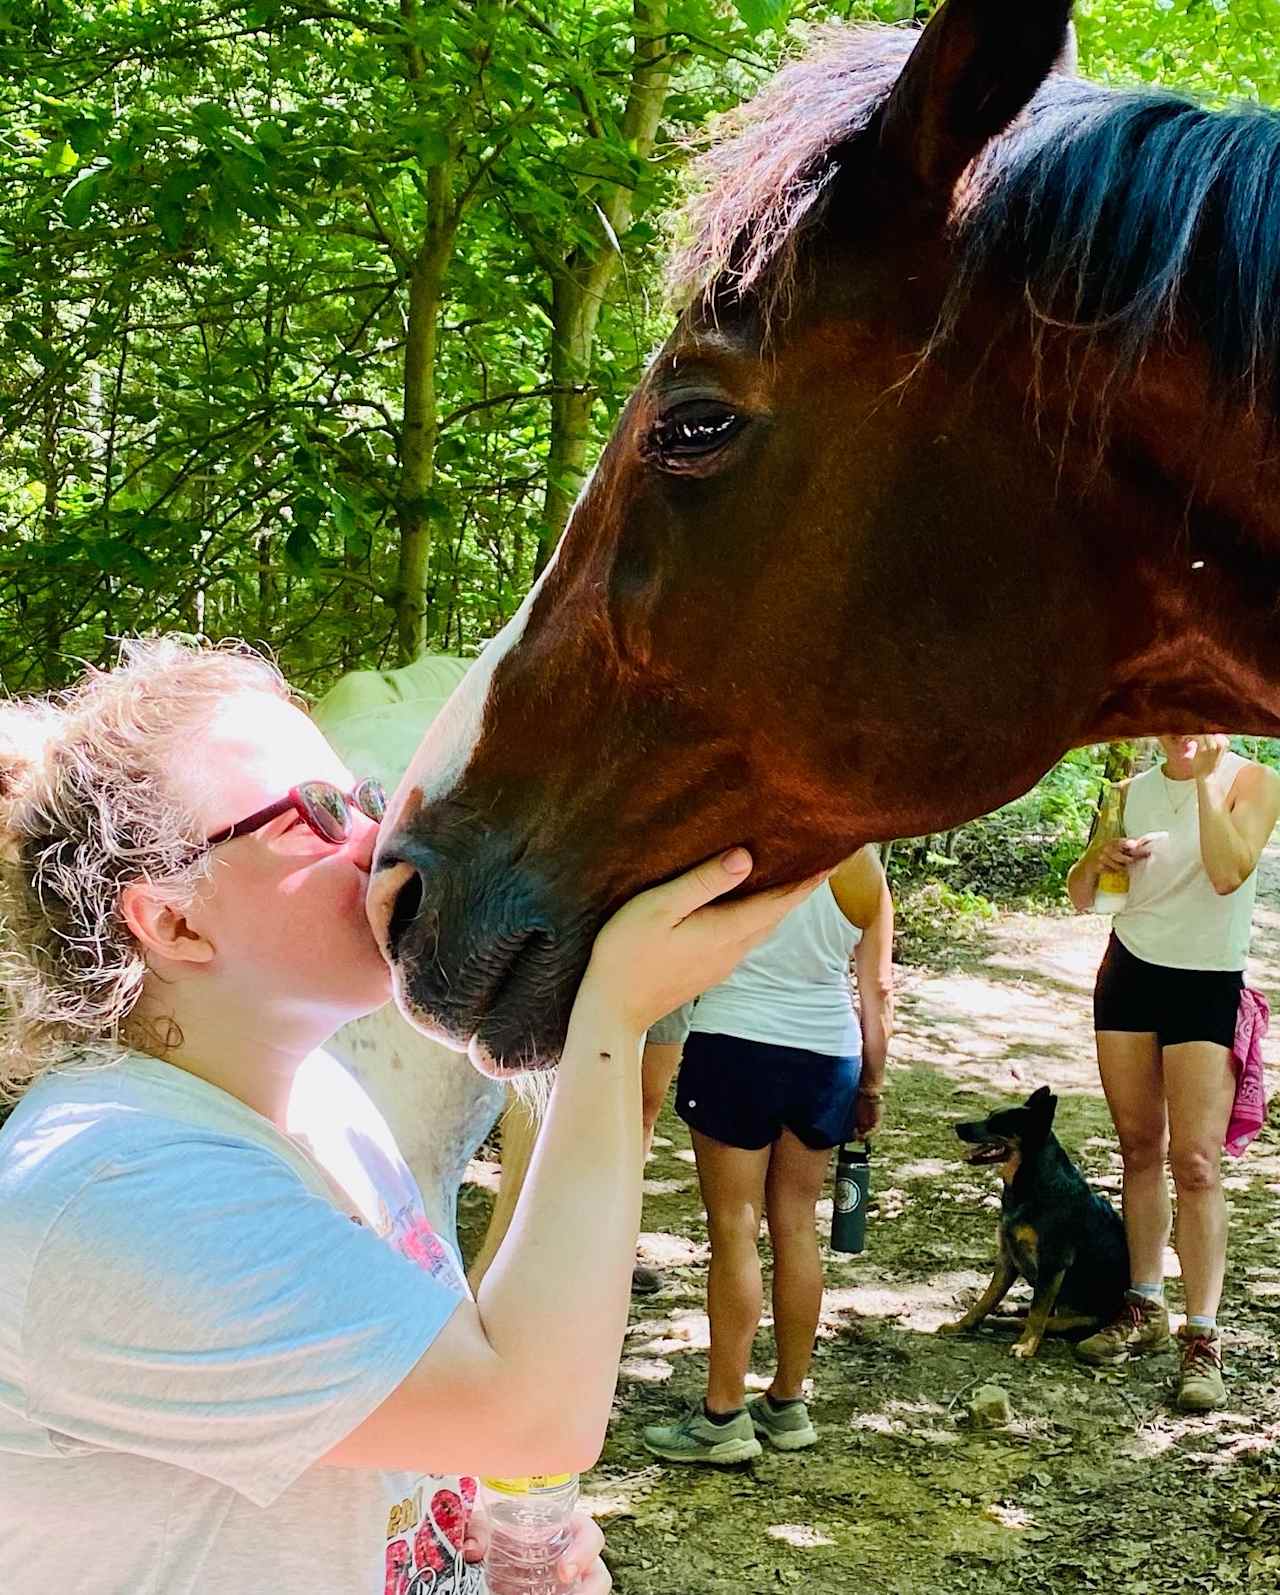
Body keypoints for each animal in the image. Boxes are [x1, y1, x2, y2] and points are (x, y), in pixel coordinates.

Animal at [937, 1084, 1128, 1358]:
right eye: (989, 1115)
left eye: (998, 1124)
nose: (958, 1126)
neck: (1031, 1183)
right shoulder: (1007, 1258)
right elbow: (985, 1300)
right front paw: (961, 1325)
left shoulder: (1052, 1263)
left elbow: (1037, 1313)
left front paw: (1026, 1345)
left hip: (1075, 1319)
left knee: (1039, 1319)